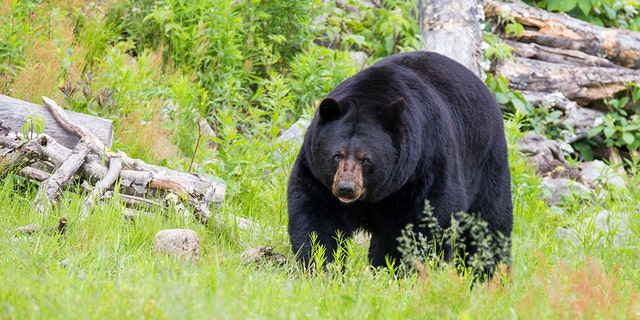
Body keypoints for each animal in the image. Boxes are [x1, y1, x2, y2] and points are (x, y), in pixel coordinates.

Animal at [288, 50, 512, 278]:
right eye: (337, 155)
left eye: (365, 159)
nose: (346, 188)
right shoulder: (317, 173)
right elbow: (316, 216)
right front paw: (321, 265)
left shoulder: (425, 166)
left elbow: (427, 222)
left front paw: (409, 270)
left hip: (487, 162)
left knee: (488, 223)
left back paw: (489, 274)